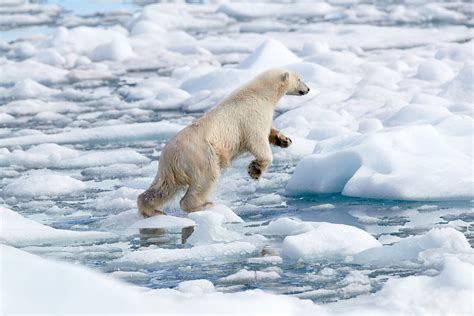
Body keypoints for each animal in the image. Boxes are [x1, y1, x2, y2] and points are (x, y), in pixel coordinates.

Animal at [136, 68, 312, 217]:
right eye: (299, 78)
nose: (308, 89)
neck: (259, 94)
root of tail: (169, 156)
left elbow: (269, 132)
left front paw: (284, 140)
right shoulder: (252, 116)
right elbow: (258, 141)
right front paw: (255, 170)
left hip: (172, 169)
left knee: (164, 188)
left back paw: (151, 210)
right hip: (201, 155)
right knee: (206, 179)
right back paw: (204, 205)